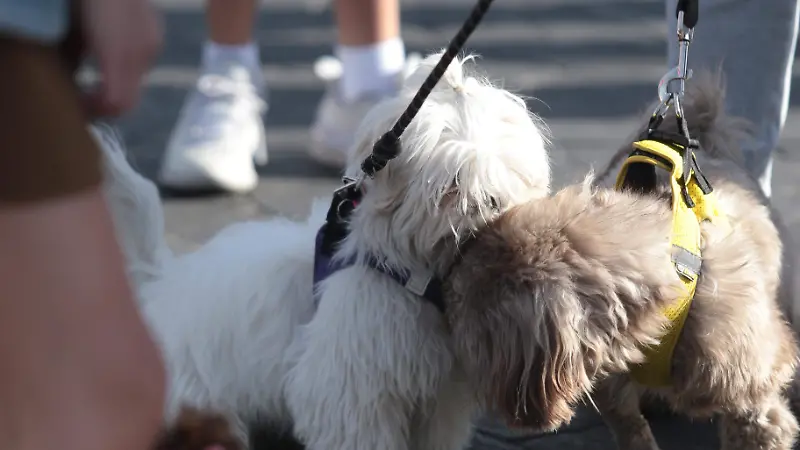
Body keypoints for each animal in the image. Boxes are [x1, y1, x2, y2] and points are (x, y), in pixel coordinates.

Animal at [97, 52, 552, 450]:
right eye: (453, 182)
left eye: (510, 170)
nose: (494, 203)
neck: (410, 274)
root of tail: (160, 284)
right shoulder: (350, 385)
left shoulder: (438, 398)